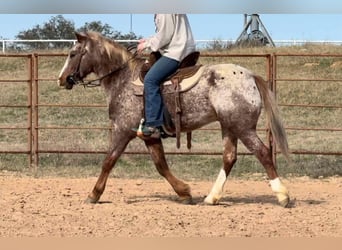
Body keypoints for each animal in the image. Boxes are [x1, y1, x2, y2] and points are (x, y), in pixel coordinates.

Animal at [57, 31, 290, 207]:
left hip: (243, 127)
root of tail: (250, 76)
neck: (123, 79)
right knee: (229, 157)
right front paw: (185, 193)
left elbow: (109, 160)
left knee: (262, 153)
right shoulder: (149, 135)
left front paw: (94, 194)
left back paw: (283, 196)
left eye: (72, 53)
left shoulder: (122, 130)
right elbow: (161, 164)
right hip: (229, 126)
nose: (62, 79)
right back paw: (211, 198)